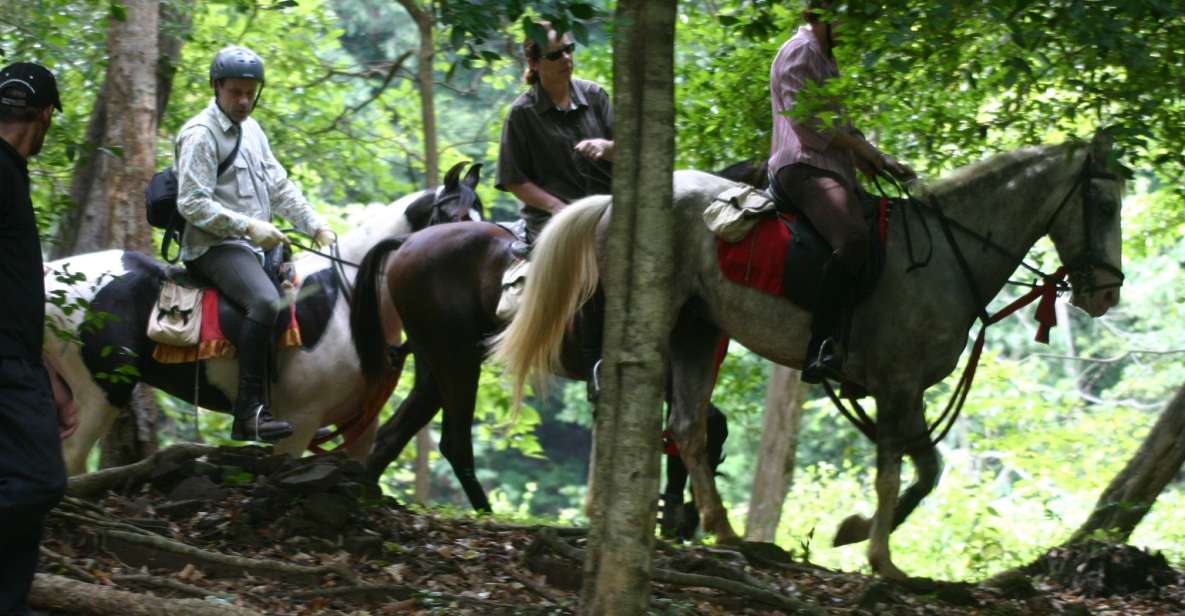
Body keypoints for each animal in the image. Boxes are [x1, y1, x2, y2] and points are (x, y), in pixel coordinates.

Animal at [45, 161, 481, 473]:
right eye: (454, 216)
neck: (347, 302)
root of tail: (53, 275)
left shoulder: (359, 426)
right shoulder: (298, 422)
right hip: (100, 389)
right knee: (70, 459)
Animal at [495, 132, 1123, 580]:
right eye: (1102, 203)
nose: (1106, 293)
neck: (946, 255)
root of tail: (616, 203)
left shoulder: (909, 392)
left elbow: (927, 471)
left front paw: (855, 531)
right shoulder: (897, 386)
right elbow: (895, 474)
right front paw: (880, 558)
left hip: (696, 332)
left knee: (688, 428)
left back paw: (723, 532)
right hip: (655, 322)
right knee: (620, 399)